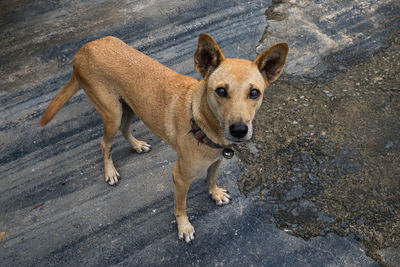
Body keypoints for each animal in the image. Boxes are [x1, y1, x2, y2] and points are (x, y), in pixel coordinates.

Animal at [40, 33, 288, 243]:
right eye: (220, 91)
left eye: (254, 93)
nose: (239, 130)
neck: (201, 123)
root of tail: (84, 49)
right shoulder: (179, 177)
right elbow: (181, 207)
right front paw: (184, 227)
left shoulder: (216, 161)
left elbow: (211, 178)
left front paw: (215, 193)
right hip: (112, 113)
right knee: (104, 143)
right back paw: (110, 172)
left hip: (129, 107)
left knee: (124, 130)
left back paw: (137, 145)